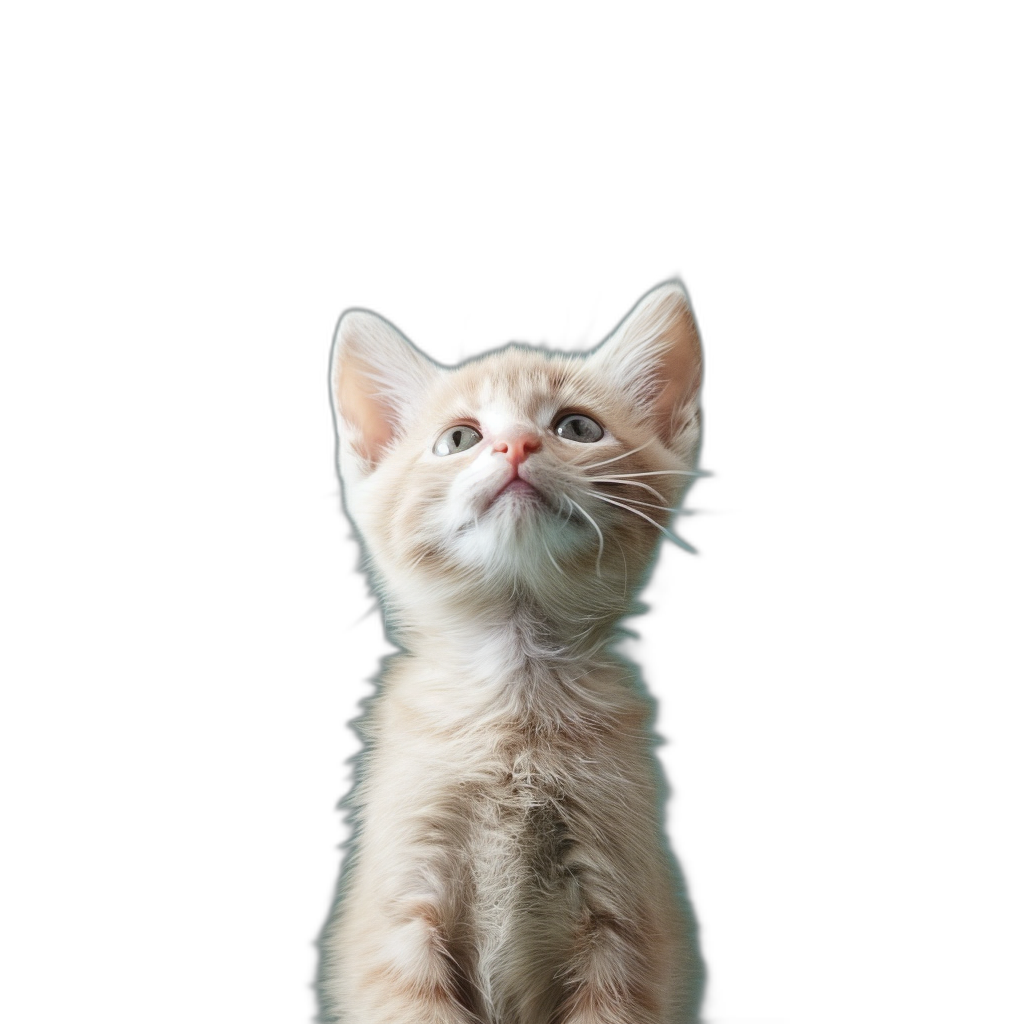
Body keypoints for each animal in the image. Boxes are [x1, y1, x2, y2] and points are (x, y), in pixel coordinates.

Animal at [317, 282, 704, 1024]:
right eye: (459, 439)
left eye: (577, 428)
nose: (515, 444)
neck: (514, 698)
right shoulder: (397, 923)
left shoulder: (627, 936)